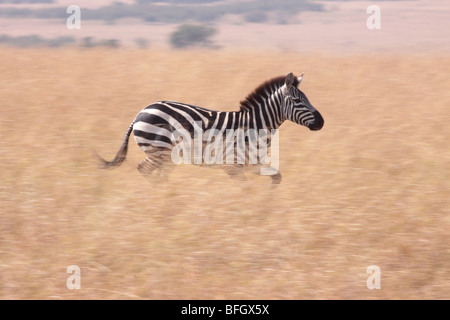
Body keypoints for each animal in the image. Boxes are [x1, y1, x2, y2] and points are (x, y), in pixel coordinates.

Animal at [96, 72, 326, 182]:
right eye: (297, 101)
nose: (321, 122)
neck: (255, 125)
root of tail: (140, 112)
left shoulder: (252, 164)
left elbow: (277, 177)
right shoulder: (233, 166)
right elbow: (245, 190)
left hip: (163, 155)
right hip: (159, 151)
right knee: (144, 169)